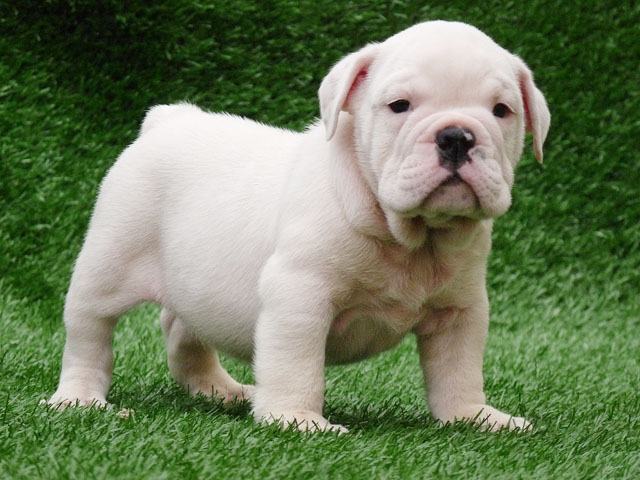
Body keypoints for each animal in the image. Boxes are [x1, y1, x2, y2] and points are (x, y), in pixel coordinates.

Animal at [48, 20, 552, 434]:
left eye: (502, 110)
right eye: (399, 106)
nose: (456, 136)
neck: (410, 235)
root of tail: (168, 120)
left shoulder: (460, 310)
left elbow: (458, 371)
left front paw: (472, 416)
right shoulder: (300, 297)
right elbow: (296, 363)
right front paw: (297, 419)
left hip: (197, 283)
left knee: (182, 330)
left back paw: (217, 388)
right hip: (108, 264)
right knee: (89, 333)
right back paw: (79, 398)